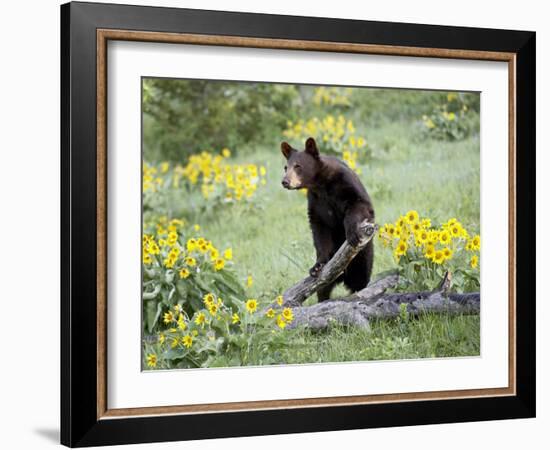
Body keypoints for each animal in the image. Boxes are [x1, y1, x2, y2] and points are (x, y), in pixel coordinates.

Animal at [282, 135, 378, 300]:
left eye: (298, 166)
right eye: (285, 167)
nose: (285, 181)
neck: (321, 184)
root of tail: (343, 277)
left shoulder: (345, 183)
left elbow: (359, 204)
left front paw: (351, 233)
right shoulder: (316, 201)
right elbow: (320, 229)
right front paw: (317, 266)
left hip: (364, 255)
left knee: (361, 277)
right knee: (323, 289)